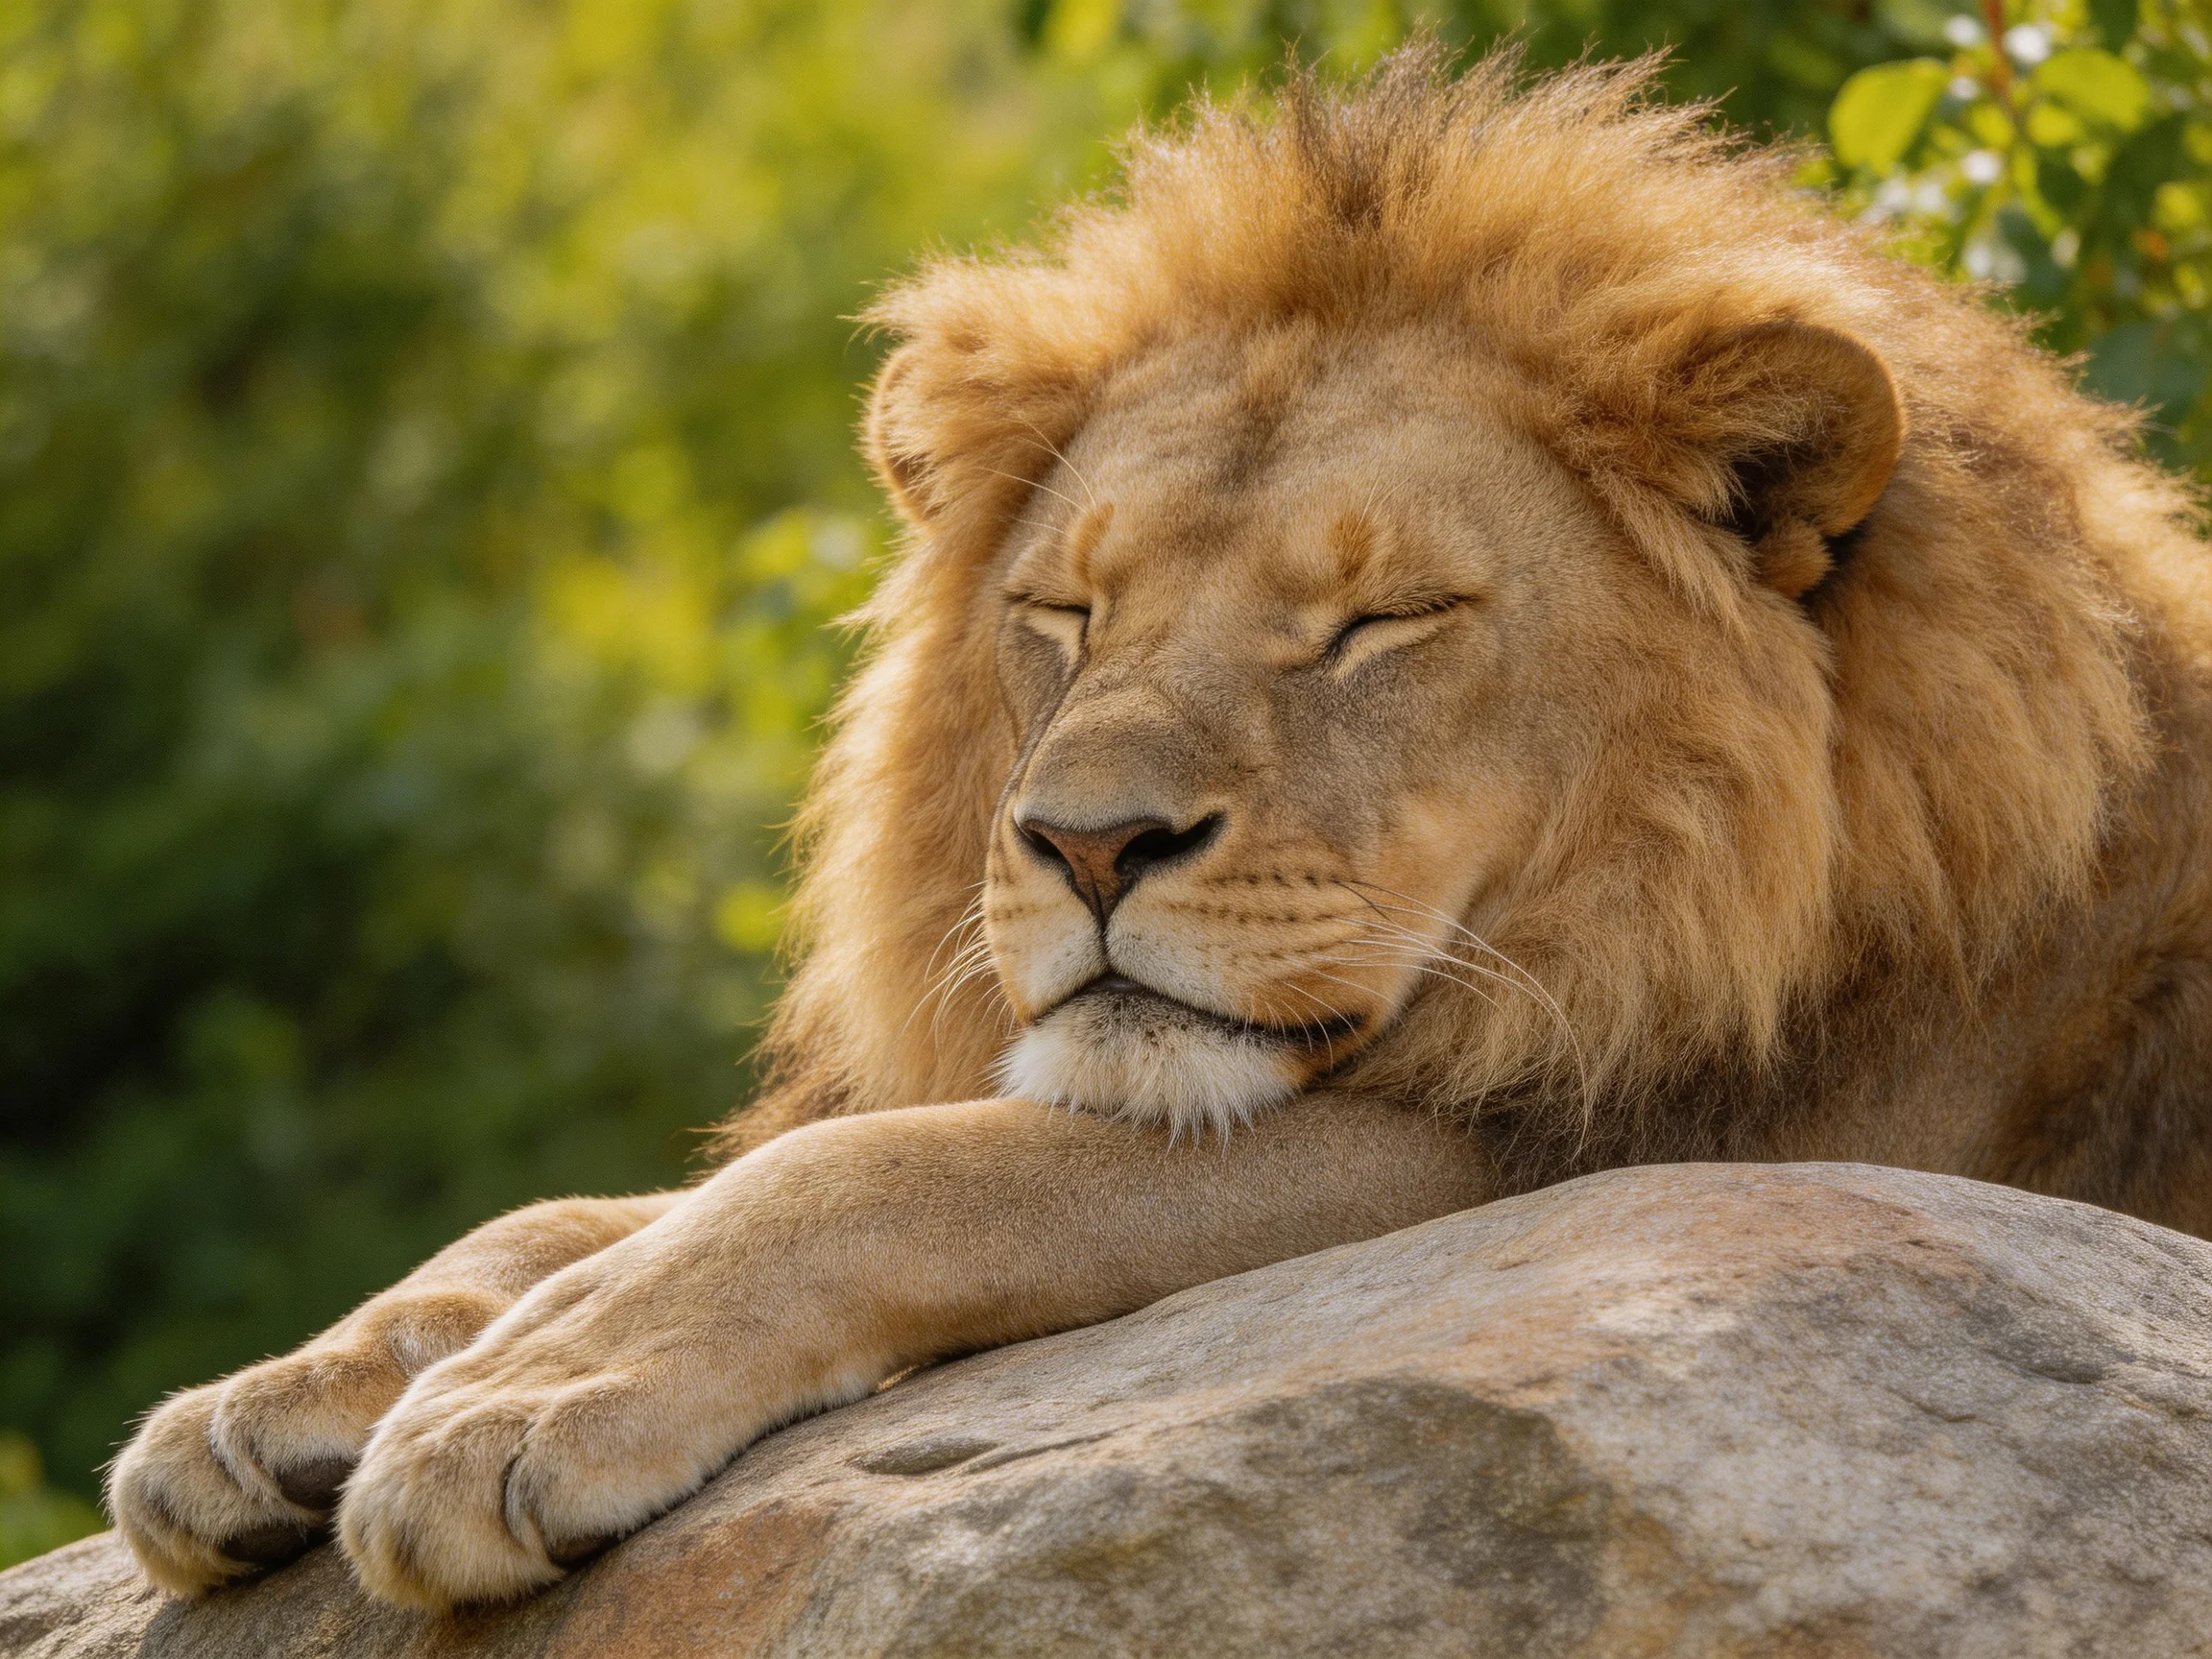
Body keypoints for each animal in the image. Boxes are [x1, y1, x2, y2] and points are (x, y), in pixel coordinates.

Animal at [108, 46, 2212, 1612]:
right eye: (1067, 611)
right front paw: (302, 1382)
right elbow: (590, 1205)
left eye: (1379, 621)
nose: (1086, 845)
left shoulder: (1661, 1146)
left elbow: (895, 1174)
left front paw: (517, 1399)